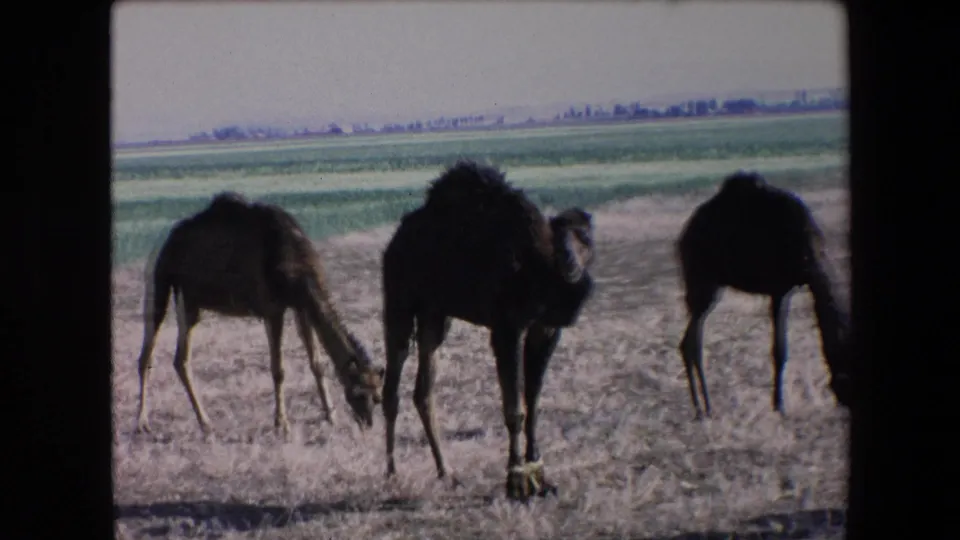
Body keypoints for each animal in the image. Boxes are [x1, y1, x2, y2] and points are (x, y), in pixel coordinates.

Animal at [133, 191, 385, 436]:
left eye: (378, 397)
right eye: (358, 393)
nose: (367, 422)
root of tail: (161, 242)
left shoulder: (300, 305)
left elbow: (316, 363)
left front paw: (330, 416)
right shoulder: (272, 308)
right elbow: (278, 369)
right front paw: (281, 424)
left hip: (189, 302)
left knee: (180, 359)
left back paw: (204, 423)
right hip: (159, 283)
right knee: (148, 353)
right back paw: (144, 423)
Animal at [380, 160, 596, 501]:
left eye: (584, 237)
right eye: (560, 237)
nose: (570, 261)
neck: (539, 269)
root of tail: (396, 239)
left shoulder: (546, 328)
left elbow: (534, 401)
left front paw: (541, 475)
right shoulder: (508, 326)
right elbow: (515, 409)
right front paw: (516, 482)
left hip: (436, 314)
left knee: (424, 388)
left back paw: (446, 472)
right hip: (399, 297)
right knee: (393, 381)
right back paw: (391, 473)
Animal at [675, 170, 852, 419]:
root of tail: (683, 237)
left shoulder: (787, 289)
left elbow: (780, 349)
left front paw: (777, 404)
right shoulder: (779, 289)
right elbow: (779, 349)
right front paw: (779, 406)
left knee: (689, 341)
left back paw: (701, 406)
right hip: (704, 282)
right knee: (691, 342)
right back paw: (705, 408)